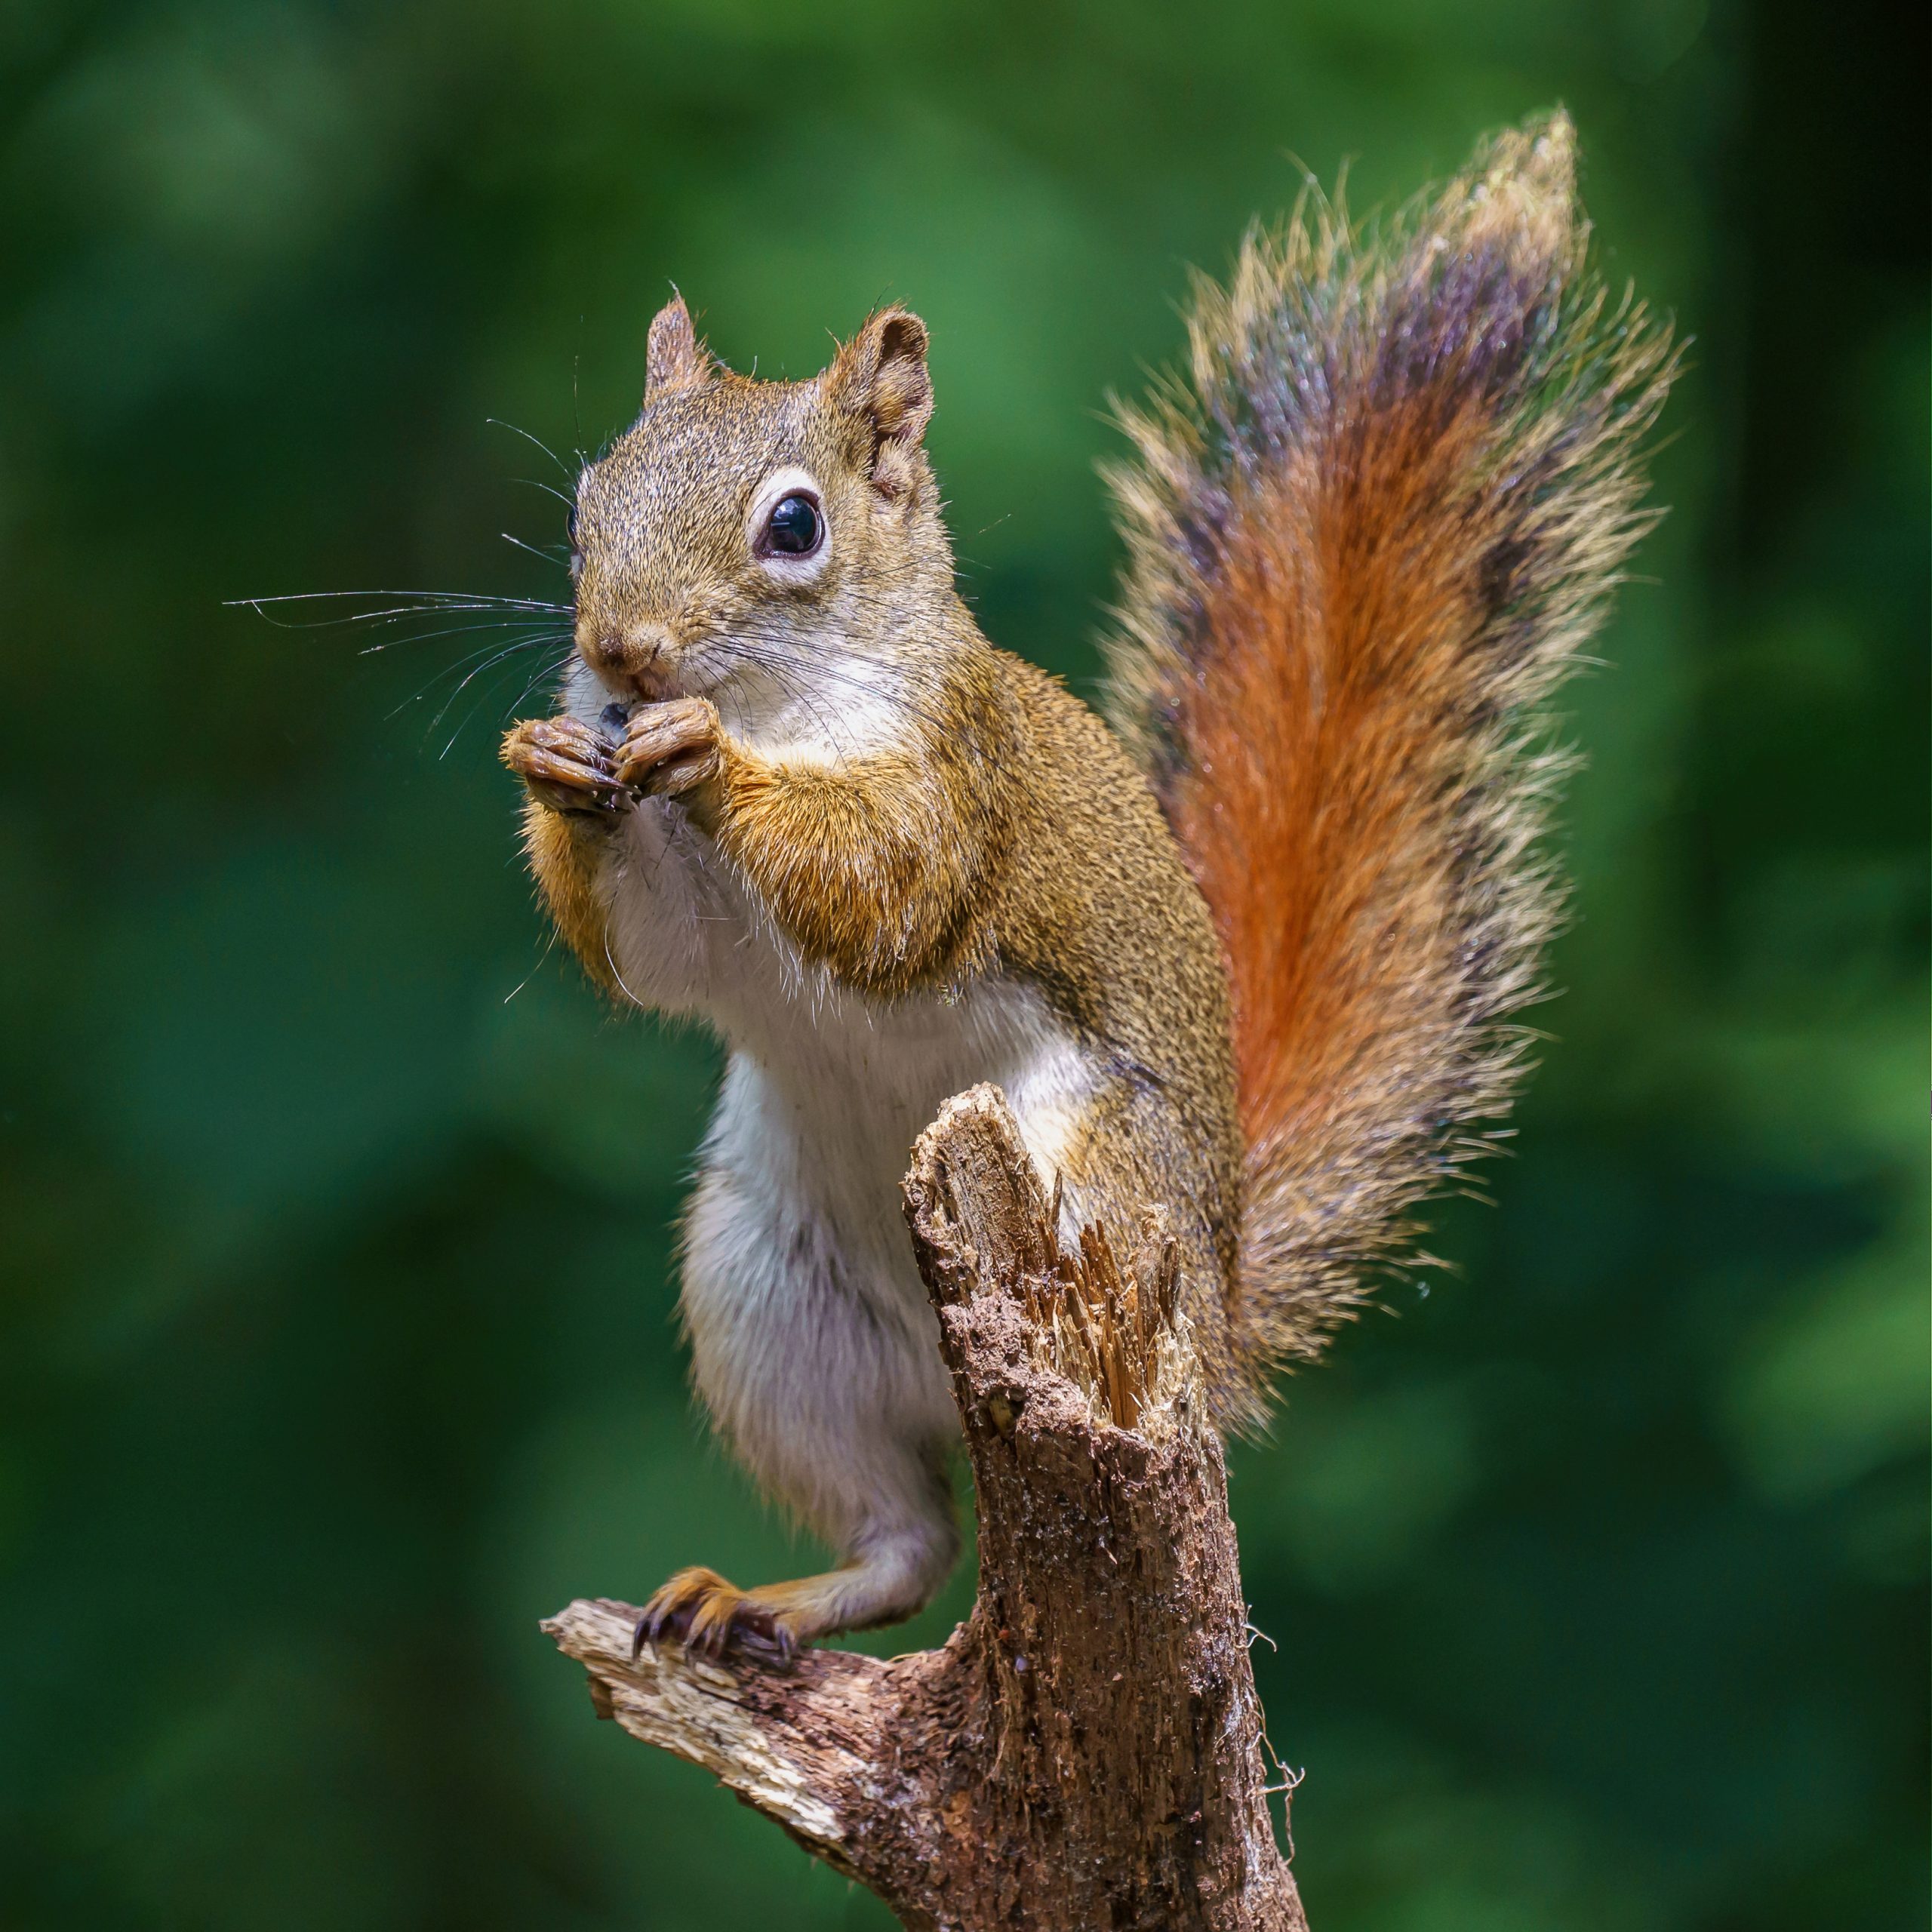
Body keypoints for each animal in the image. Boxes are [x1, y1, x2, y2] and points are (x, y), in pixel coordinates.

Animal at [499, 113, 1675, 1662]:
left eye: (795, 527)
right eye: (588, 503)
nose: (620, 655)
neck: (779, 703)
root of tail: (1220, 1321)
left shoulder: (960, 782)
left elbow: (884, 885)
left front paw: (707, 762)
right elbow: (654, 956)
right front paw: (555, 764)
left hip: (1093, 1188)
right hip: (773, 1298)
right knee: (906, 1540)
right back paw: (756, 1597)